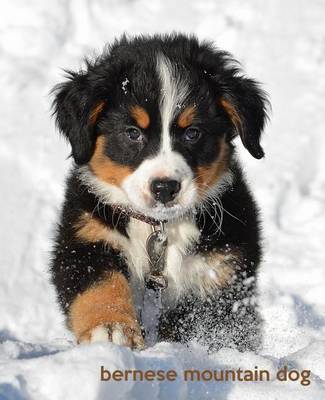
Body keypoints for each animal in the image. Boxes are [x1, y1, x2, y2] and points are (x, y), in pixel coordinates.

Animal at [50, 34, 268, 354]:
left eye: (193, 132)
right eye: (132, 132)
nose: (165, 187)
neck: (157, 227)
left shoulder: (222, 266)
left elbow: (207, 322)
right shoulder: (86, 237)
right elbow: (100, 284)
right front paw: (110, 328)